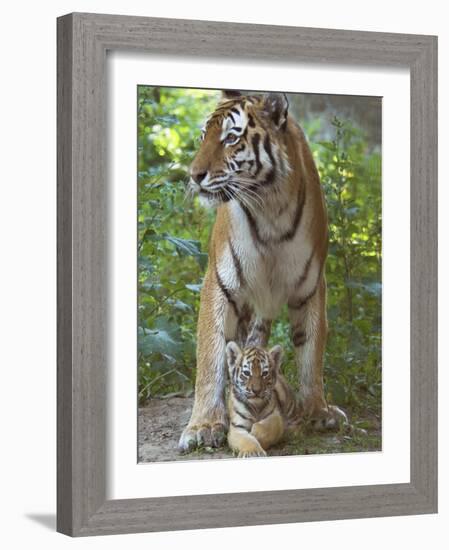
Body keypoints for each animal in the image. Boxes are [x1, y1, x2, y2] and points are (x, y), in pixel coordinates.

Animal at [178, 90, 346, 452]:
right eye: (203, 136)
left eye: (230, 138)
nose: (194, 175)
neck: (271, 207)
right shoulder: (219, 283)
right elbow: (210, 355)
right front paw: (203, 425)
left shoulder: (311, 285)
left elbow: (311, 352)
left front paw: (318, 410)